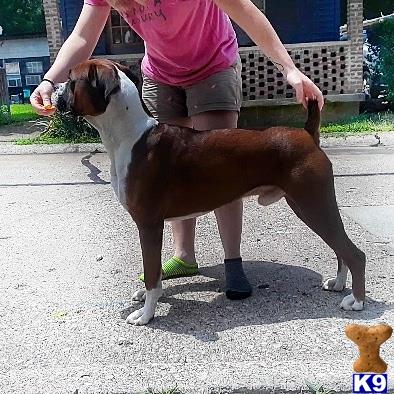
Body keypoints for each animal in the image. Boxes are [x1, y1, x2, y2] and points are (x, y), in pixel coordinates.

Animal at [54, 57, 366, 324]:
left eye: (70, 80)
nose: (53, 89)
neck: (130, 136)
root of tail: (307, 134)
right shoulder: (152, 227)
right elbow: (153, 270)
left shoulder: (149, 225)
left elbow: (153, 273)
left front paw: (146, 313)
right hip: (309, 206)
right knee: (340, 247)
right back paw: (339, 284)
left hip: (313, 204)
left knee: (353, 252)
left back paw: (356, 301)